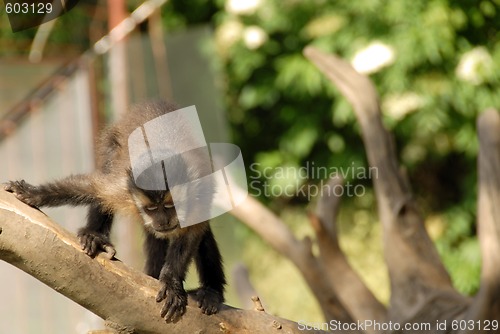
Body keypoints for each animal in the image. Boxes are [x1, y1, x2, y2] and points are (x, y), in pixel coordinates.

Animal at [3, 100, 227, 322]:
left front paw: (172, 281)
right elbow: (93, 188)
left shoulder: (200, 190)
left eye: (171, 206)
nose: (163, 221)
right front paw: (32, 193)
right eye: (152, 208)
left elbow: (193, 233)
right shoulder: (123, 189)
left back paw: (211, 293)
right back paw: (95, 236)